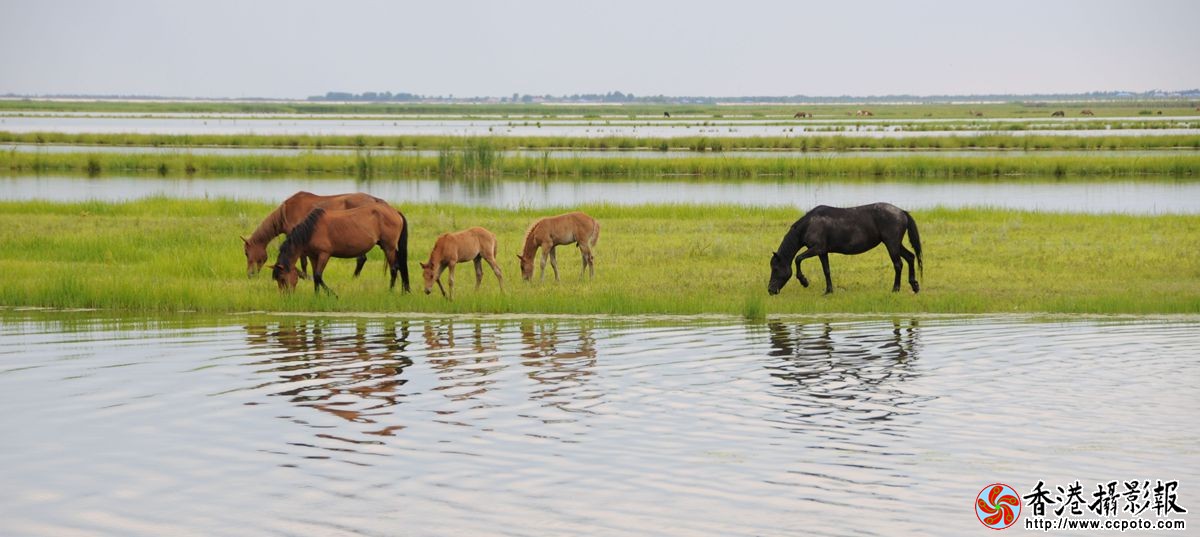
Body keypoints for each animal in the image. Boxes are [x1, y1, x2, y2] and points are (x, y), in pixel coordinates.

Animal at [242, 191, 381, 278]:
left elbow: (303, 261)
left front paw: (304, 276)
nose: (250, 274)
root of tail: (374, 199)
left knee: (361, 259)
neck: (287, 212)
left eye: (246, 253)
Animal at [271, 205, 410, 295]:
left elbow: (318, 275)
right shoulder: (313, 256)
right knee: (400, 267)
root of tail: (395, 212)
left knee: (394, 269)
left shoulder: (324, 254)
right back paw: (404, 290)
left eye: (282, 278)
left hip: (389, 247)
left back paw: (390, 291)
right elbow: (315, 276)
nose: (285, 296)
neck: (311, 230)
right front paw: (316, 295)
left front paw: (333, 294)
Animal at [768, 203, 922, 295]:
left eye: (775, 269)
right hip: (896, 244)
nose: (770, 290)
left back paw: (895, 288)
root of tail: (901, 212)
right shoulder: (823, 252)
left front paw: (804, 281)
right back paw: (914, 285)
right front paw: (828, 291)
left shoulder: (816, 249)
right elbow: (826, 271)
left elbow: (798, 259)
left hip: (891, 244)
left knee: (898, 264)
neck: (809, 224)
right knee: (910, 257)